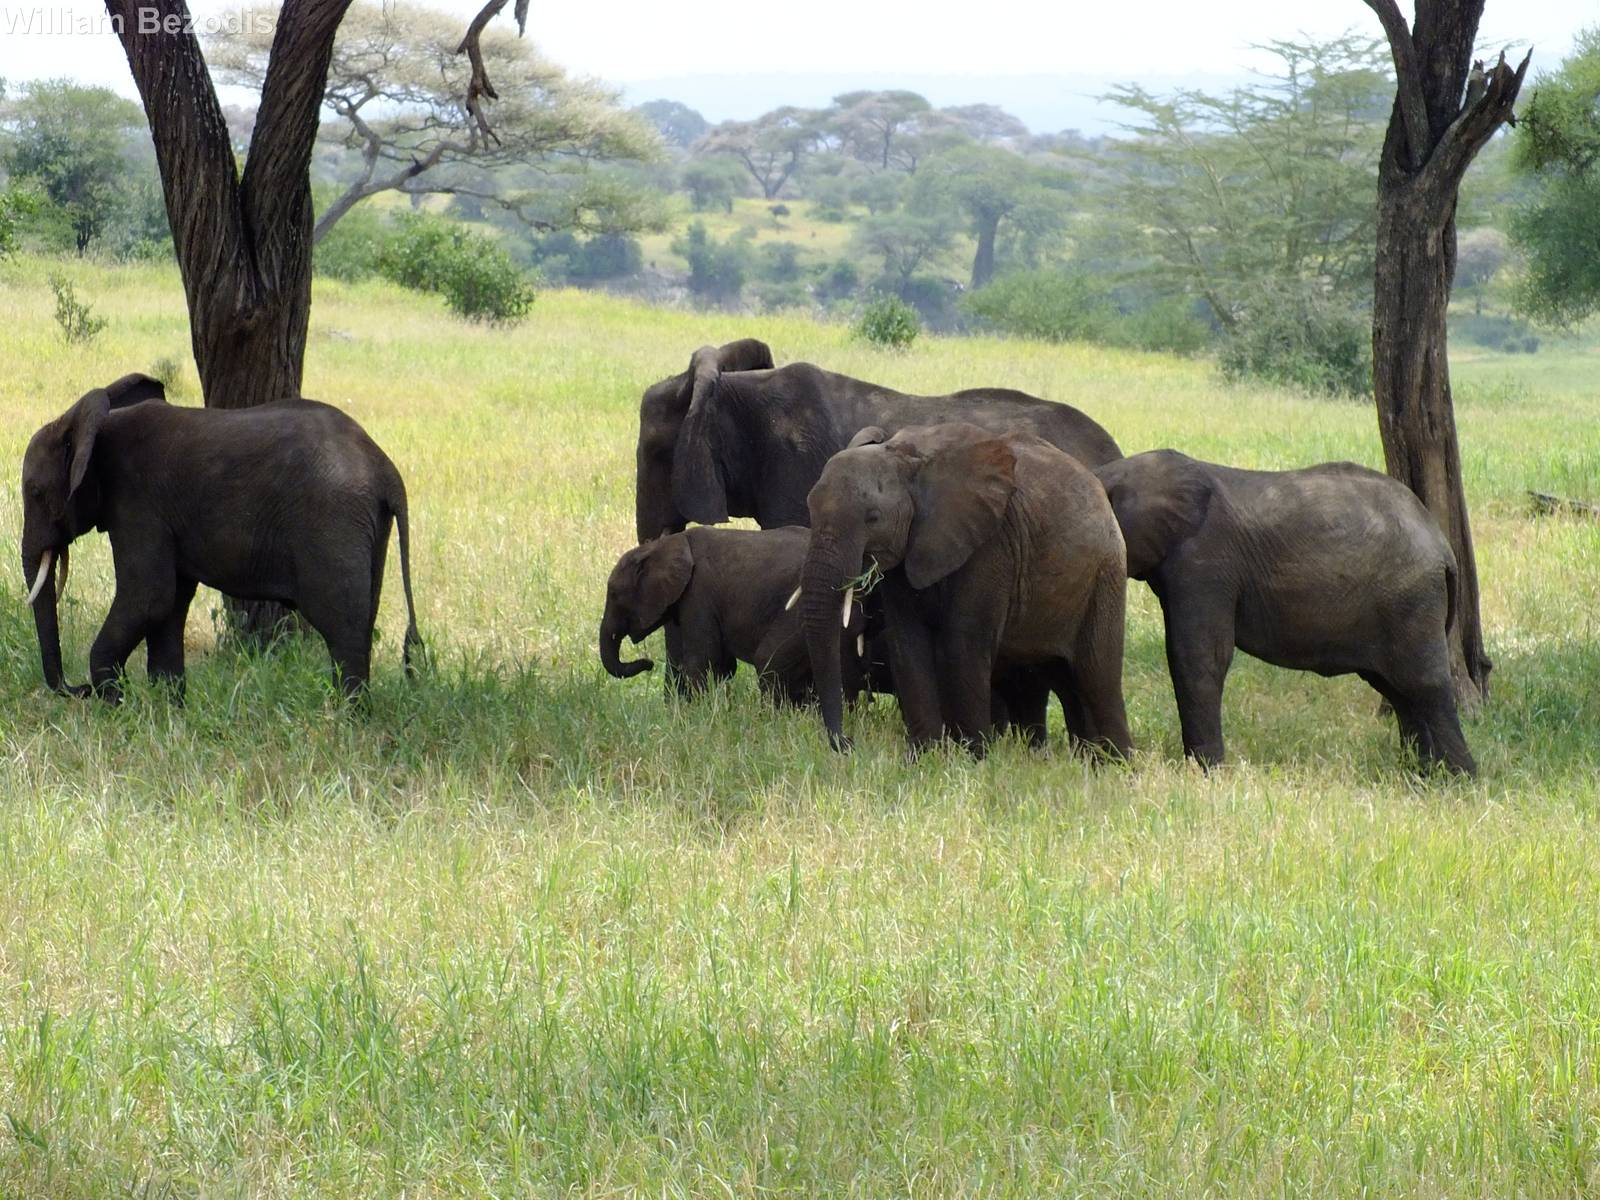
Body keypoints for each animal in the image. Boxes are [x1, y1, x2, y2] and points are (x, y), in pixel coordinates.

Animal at [20, 378, 422, 701]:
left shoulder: (138, 503)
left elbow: (148, 597)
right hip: (366, 527)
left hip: (332, 521)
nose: (78, 689)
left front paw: (116, 705)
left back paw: (346, 722)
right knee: (362, 617)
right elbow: (169, 604)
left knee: (342, 626)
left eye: (36, 493)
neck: (94, 423)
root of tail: (387, 470)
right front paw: (168, 711)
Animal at [600, 525, 867, 704]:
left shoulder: (699, 595)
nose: (648, 664)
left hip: (801, 613)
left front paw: (697, 714)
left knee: (769, 661)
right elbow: (722, 665)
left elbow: (702, 660)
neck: (664, 544)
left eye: (614, 594)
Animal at [799, 422, 1134, 757]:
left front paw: (974, 758)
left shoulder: (992, 545)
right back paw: (1090, 761)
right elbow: (908, 643)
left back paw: (1118, 762)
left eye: (873, 517)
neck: (906, 460)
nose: (846, 743)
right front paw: (924, 756)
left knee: (1097, 676)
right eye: (810, 508)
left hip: (1106, 573)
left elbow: (964, 642)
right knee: (1066, 680)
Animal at [1094, 449, 1475, 775]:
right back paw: (1418, 775)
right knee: (1399, 690)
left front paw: (1207, 773)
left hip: (1411, 598)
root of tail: (1442, 547)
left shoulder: (1204, 563)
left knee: (1424, 685)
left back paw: (1456, 781)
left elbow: (1199, 658)